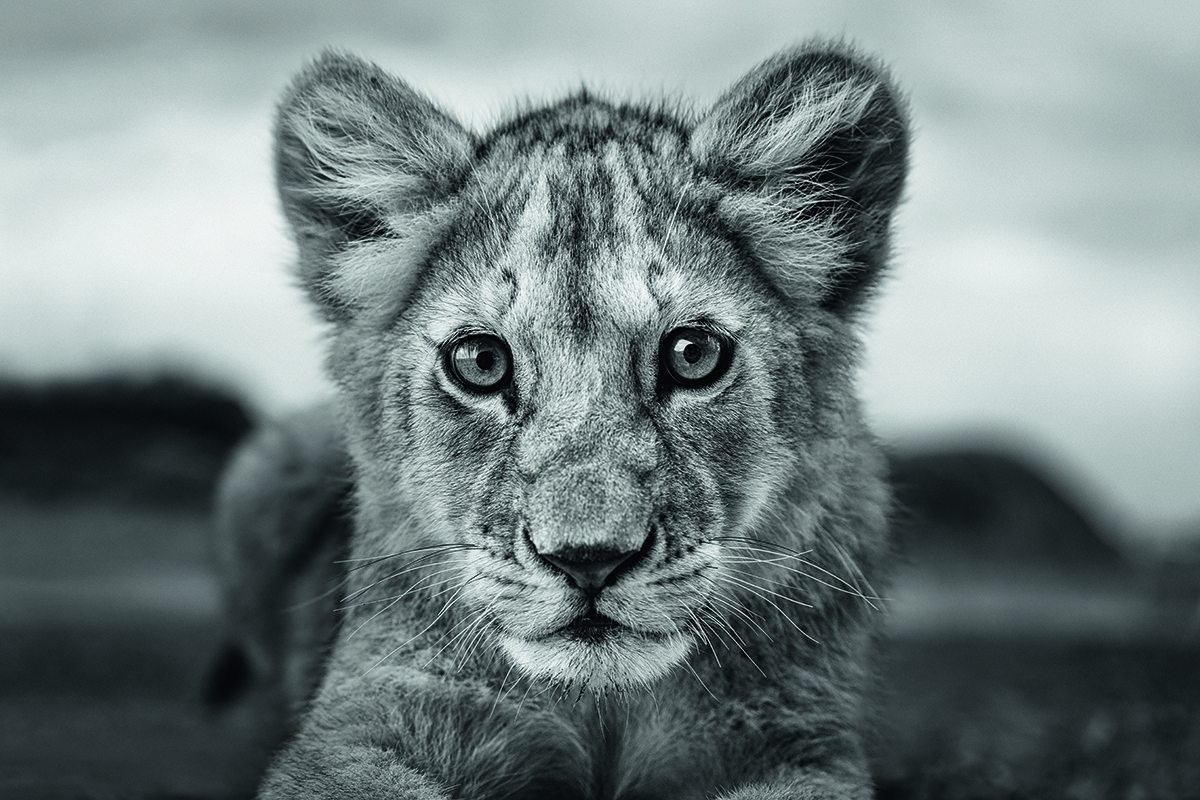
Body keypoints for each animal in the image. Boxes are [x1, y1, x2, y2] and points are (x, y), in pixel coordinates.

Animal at [212, 40, 908, 800]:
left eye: (693, 355)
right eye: (481, 361)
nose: (589, 561)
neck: (604, 706)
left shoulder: (796, 738)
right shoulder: (368, 721)